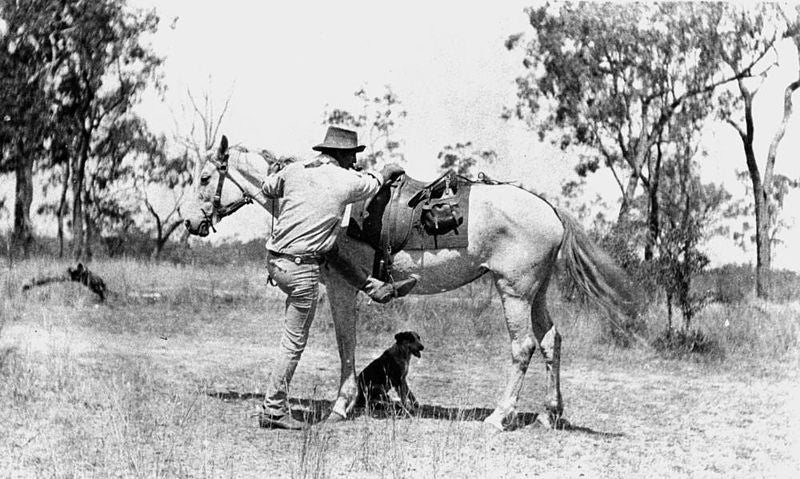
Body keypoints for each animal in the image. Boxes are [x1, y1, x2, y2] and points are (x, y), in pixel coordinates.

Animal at [181, 135, 636, 432]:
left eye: (204, 178)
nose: (188, 221)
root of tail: (550, 208)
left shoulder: (341, 288)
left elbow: (345, 343)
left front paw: (341, 405)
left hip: (515, 291)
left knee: (523, 347)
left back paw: (499, 417)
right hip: (536, 293)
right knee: (551, 341)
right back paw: (548, 413)